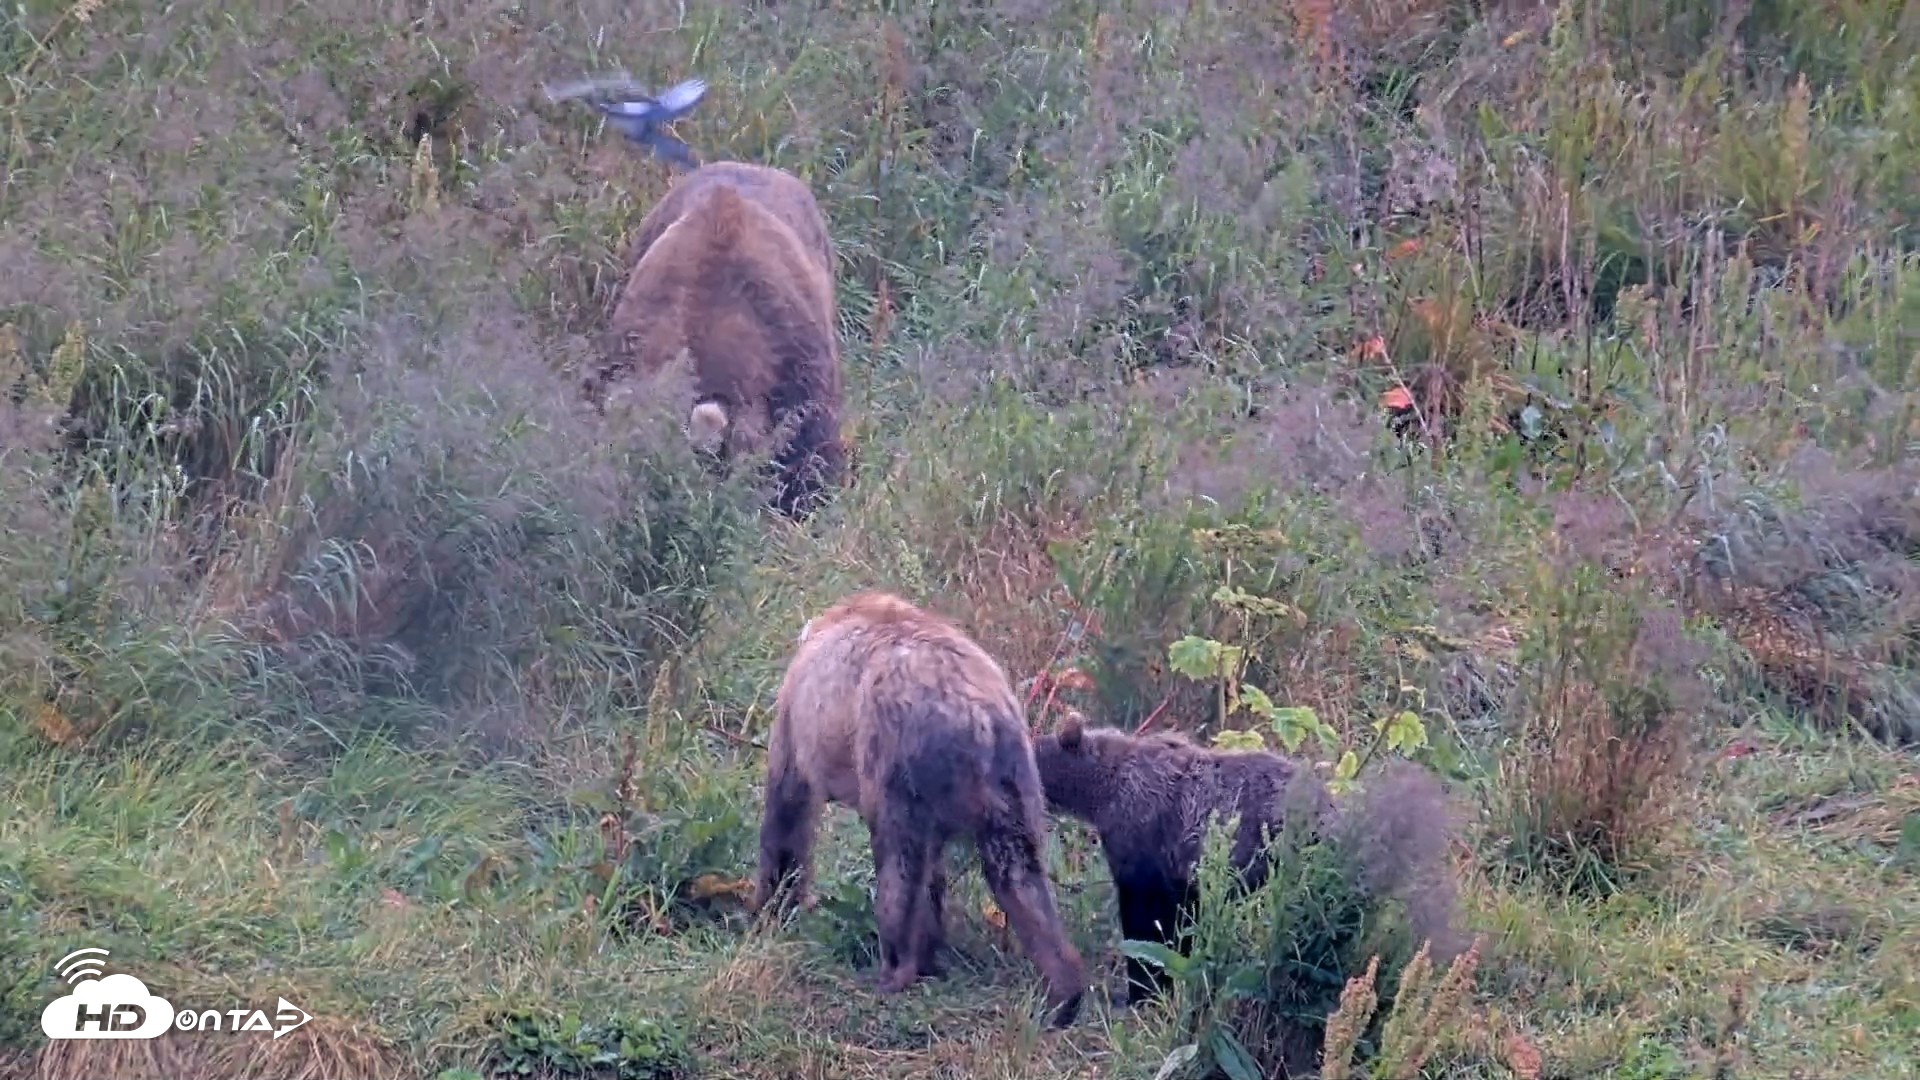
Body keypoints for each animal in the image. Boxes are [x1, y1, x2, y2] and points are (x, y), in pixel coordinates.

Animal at [750, 591, 1088, 1028]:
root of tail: (977, 715)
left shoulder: (798, 717)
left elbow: (787, 808)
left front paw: (772, 906)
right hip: (1011, 772)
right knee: (1017, 871)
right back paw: (1065, 990)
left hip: (898, 752)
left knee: (899, 862)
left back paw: (895, 966)